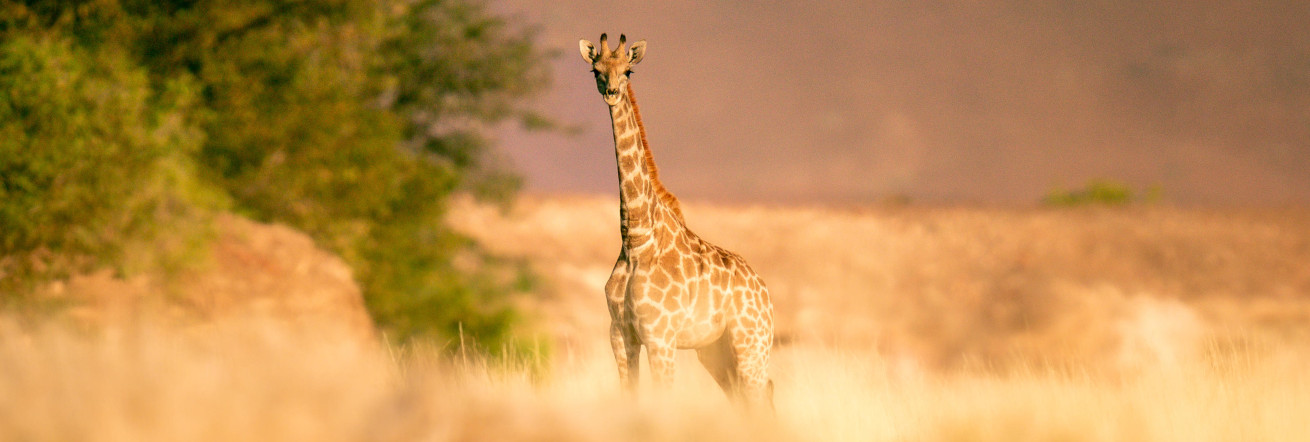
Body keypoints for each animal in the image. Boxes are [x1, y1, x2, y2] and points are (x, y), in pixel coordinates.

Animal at [578, 33, 775, 408]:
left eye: (629, 70)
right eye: (596, 69)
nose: (611, 92)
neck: (636, 238)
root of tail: (765, 293)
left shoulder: (660, 336)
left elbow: (662, 399)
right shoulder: (620, 334)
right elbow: (630, 396)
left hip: (751, 344)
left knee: (761, 397)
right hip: (715, 351)